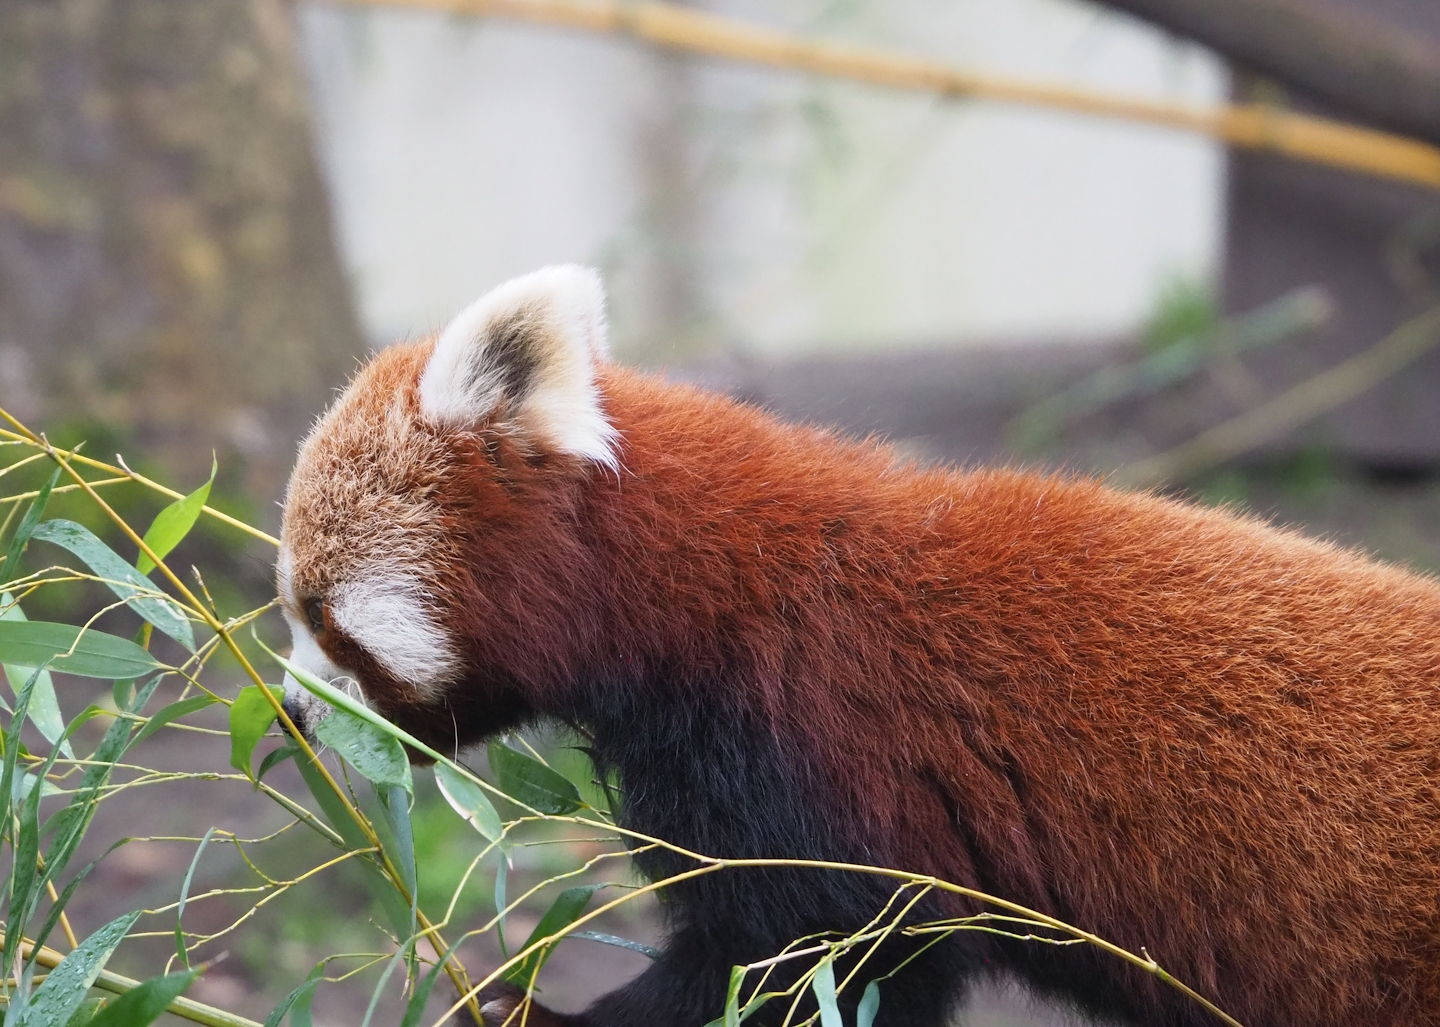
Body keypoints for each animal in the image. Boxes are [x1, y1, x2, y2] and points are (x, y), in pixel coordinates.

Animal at [277, 265, 1440, 1027]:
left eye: (325, 616)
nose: (284, 713)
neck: (709, 592)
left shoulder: (804, 760)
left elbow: (793, 964)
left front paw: (532, 1010)